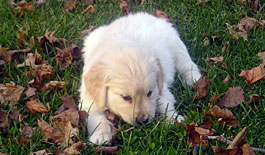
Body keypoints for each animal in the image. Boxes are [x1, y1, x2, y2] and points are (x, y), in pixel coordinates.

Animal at [78, 12, 200, 145]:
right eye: (126, 97)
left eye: (149, 93)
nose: (143, 121)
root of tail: (142, 15)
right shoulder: (88, 98)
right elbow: (95, 117)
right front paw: (101, 135)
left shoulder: (161, 88)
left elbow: (164, 103)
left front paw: (174, 118)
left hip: (175, 44)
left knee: (187, 64)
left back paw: (195, 80)